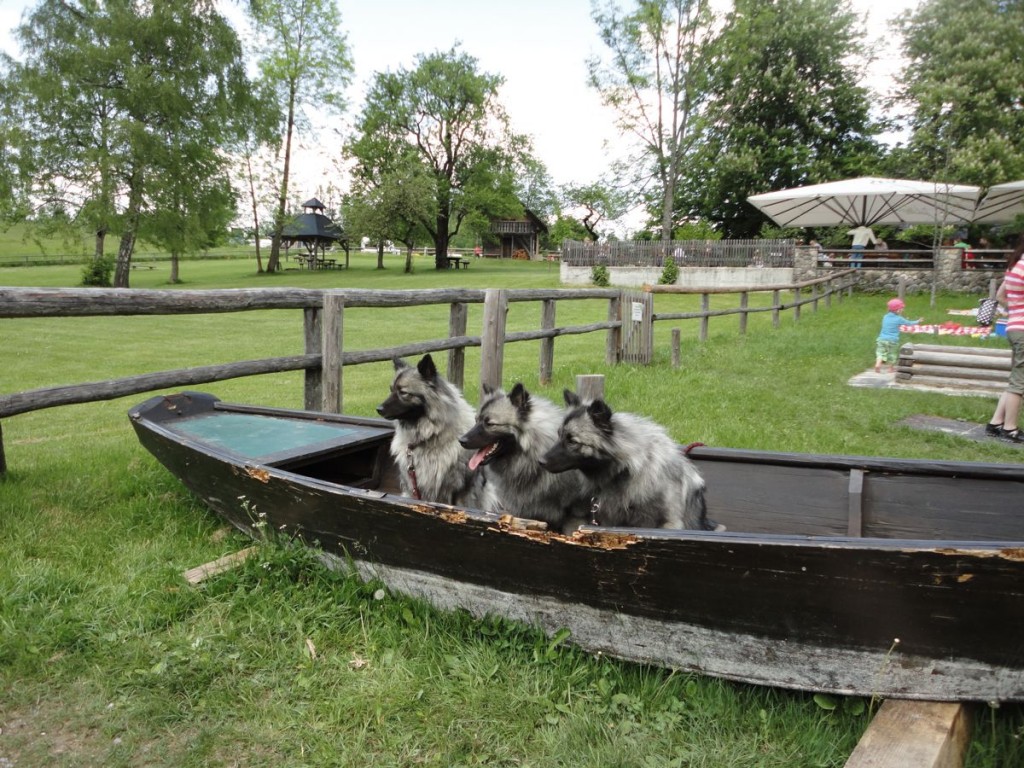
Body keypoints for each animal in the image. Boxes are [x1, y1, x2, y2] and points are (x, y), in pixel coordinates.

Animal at [378, 354, 493, 512]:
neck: (430, 436)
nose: (378, 409)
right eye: (391, 390)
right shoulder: (413, 489)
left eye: (403, 392)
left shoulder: (459, 491)